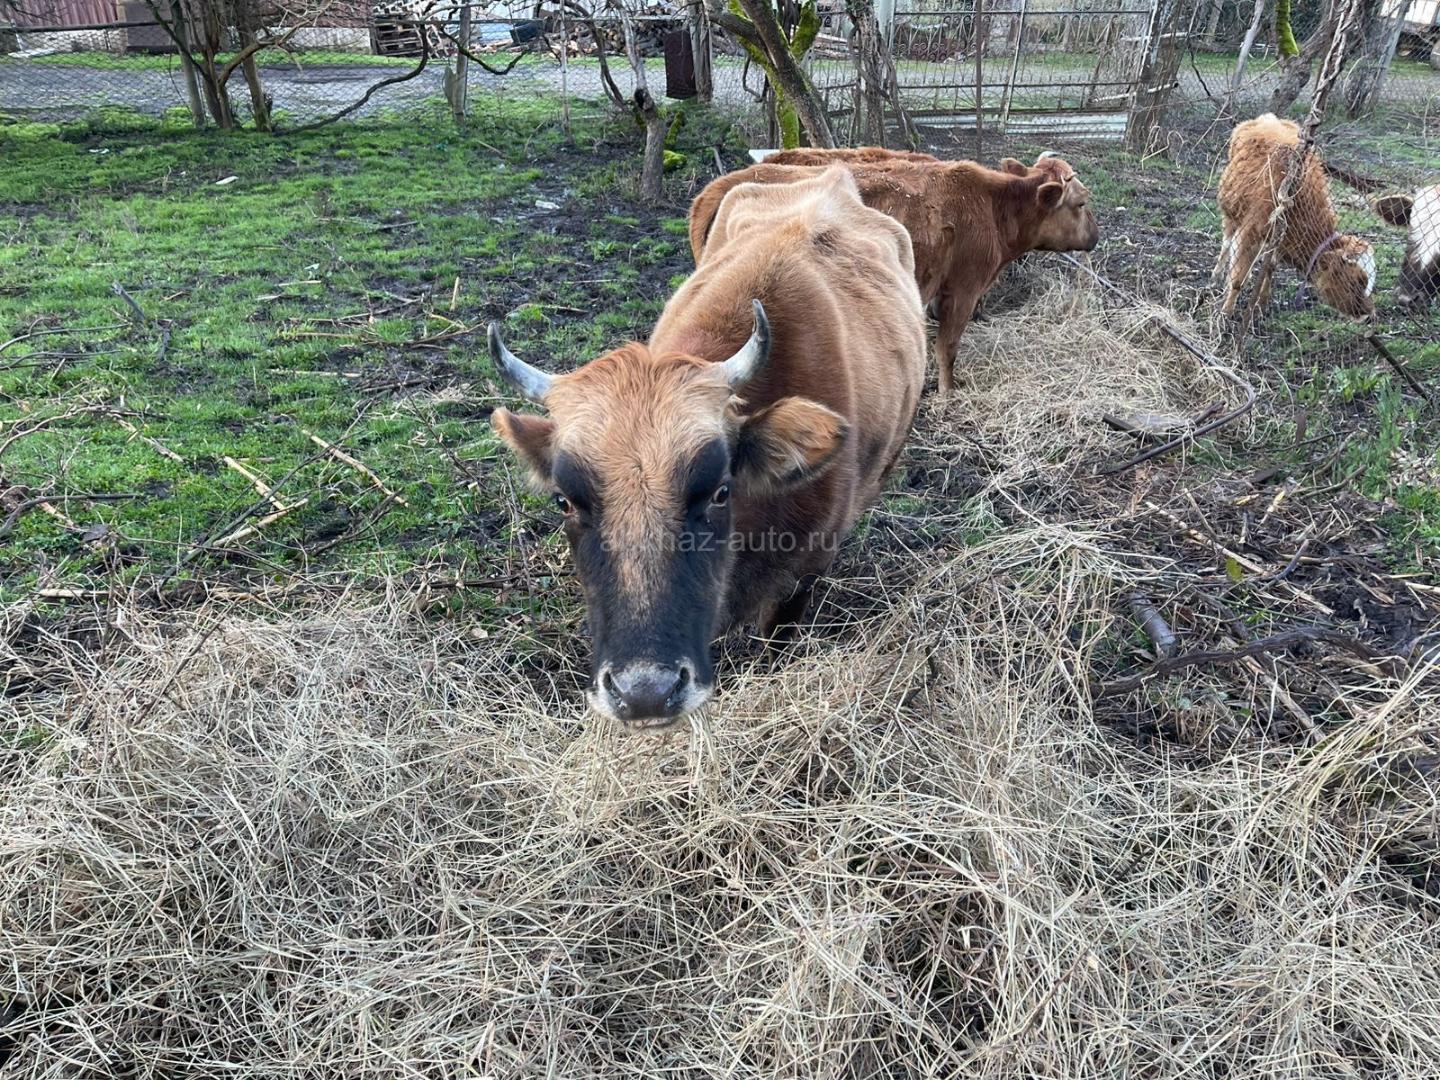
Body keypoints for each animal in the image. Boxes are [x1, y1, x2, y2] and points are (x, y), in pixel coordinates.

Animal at [688, 153, 1100, 395]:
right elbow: (947, 347)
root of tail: (726, 184)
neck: (991, 205)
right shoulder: (963, 289)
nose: (1096, 237)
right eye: (1081, 203)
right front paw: (947, 394)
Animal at [1214, 113, 1375, 321]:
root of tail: (1267, 118)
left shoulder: (1278, 239)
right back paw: (1216, 276)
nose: (1368, 314)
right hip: (1231, 212)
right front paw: (1226, 313)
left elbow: (1269, 267)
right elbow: (1238, 278)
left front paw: (1261, 305)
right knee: (1226, 242)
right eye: (1355, 281)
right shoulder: (1249, 234)